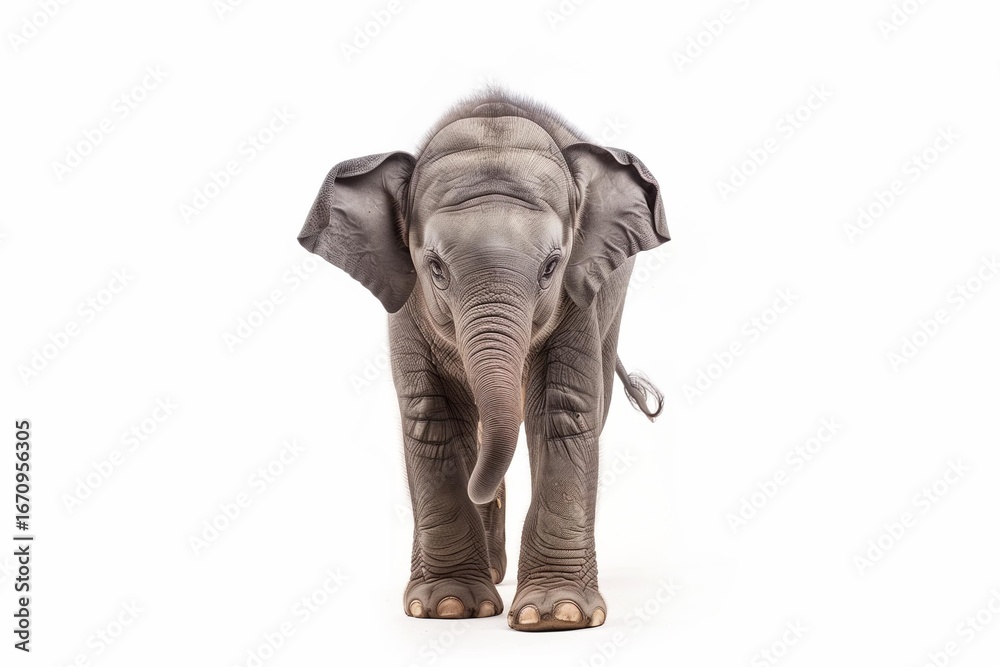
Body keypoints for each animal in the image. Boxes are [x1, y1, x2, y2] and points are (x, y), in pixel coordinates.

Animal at [297, 89, 670, 631]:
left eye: (551, 266)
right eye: (434, 267)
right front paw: (449, 606)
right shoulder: (405, 302)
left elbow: (563, 412)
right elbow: (432, 417)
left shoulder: (581, 299)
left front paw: (556, 615)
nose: (482, 492)